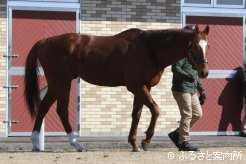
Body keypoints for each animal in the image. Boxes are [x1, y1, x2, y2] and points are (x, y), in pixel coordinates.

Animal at [24, 25, 209, 152]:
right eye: (195, 46)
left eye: (207, 46)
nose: (204, 72)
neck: (149, 48)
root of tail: (46, 41)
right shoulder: (136, 86)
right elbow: (155, 109)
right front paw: (146, 141)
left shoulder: (143, 87)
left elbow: (137, 114)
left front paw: (134, 143)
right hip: (62, 82)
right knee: (61, 110)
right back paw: (76, 144)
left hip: (55, 83)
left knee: (43, 107)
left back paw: (35, 143)